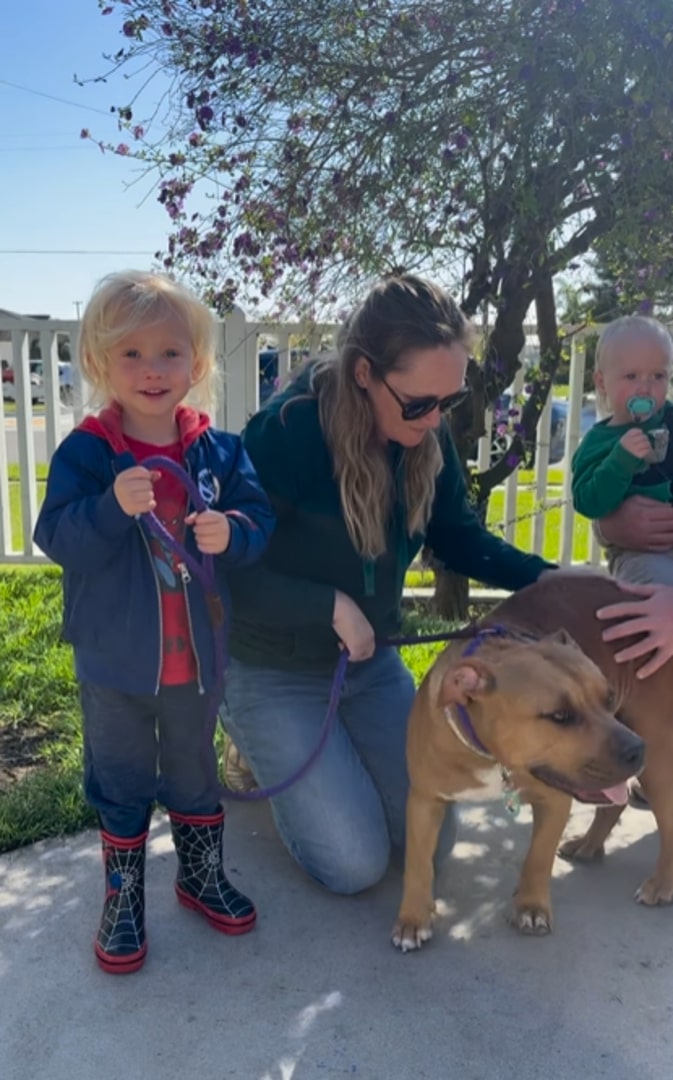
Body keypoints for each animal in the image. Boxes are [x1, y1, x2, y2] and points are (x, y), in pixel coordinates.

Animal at [393, 574, 652, 954]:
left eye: (607, 698)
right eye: (560, 716)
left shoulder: (555, 800)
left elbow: (538, 858)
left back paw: (658, 887)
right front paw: (412, 918)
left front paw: (530, 906)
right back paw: (589, 846)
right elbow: (418, 863)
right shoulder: (425, 799)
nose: (637, 749)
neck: (491, 754)